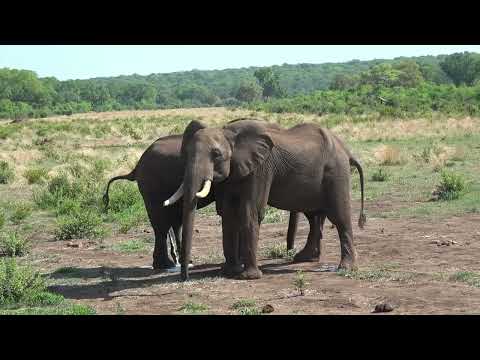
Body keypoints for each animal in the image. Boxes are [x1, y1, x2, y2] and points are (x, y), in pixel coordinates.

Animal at [163, 119, 366, 282]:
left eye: (216, 154)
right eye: (185, 154)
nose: (185, 278)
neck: (229, 133)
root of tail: (346, 150)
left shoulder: (261, 168)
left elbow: (249, 211)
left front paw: (248, 277)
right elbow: (228, 214)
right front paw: (229, 272)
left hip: (337, 172)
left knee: (339, 216)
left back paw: (346, 267)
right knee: (314, 216)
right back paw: (304, 258)